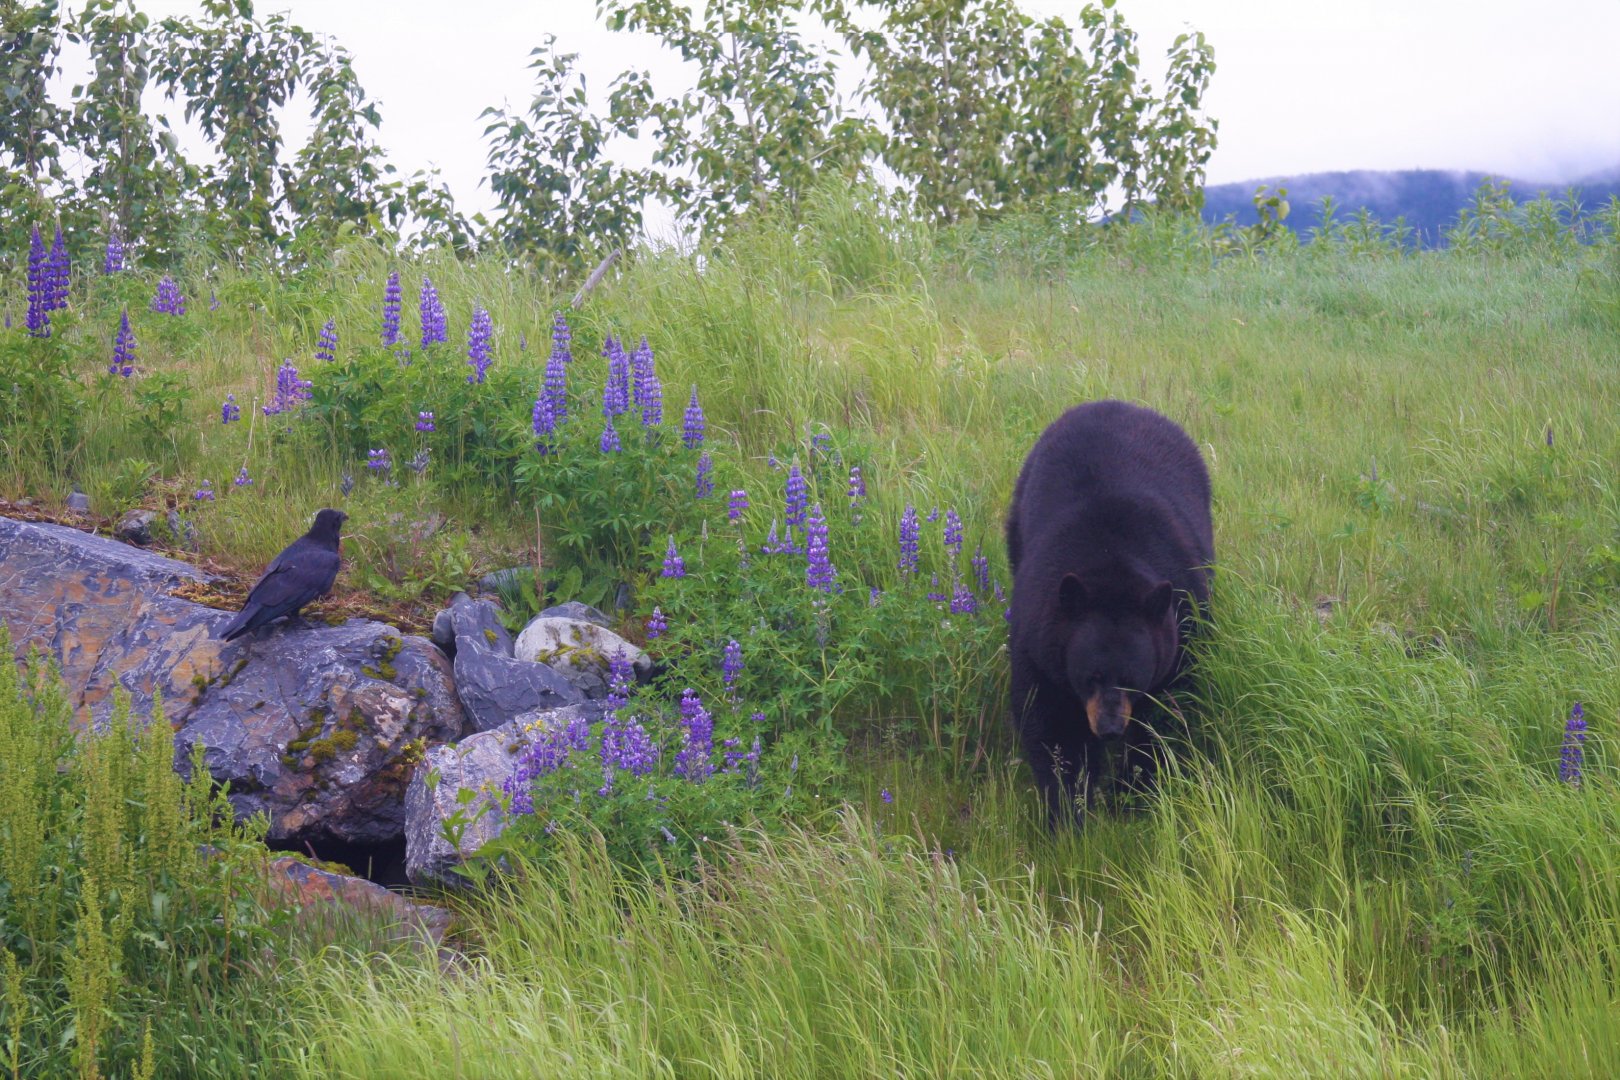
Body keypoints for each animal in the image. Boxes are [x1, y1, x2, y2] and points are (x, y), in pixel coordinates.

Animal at [1005, 400, 1213, 826]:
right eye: (1091, 676)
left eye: (1134, 679)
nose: (1110, 728)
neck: (1110, 565)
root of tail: (1115, 402)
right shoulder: (1040, 640)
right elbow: (1051, 726)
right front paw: (1068, 811)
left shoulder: (1183, 628)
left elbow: (1167, 718)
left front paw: (1133, 791)